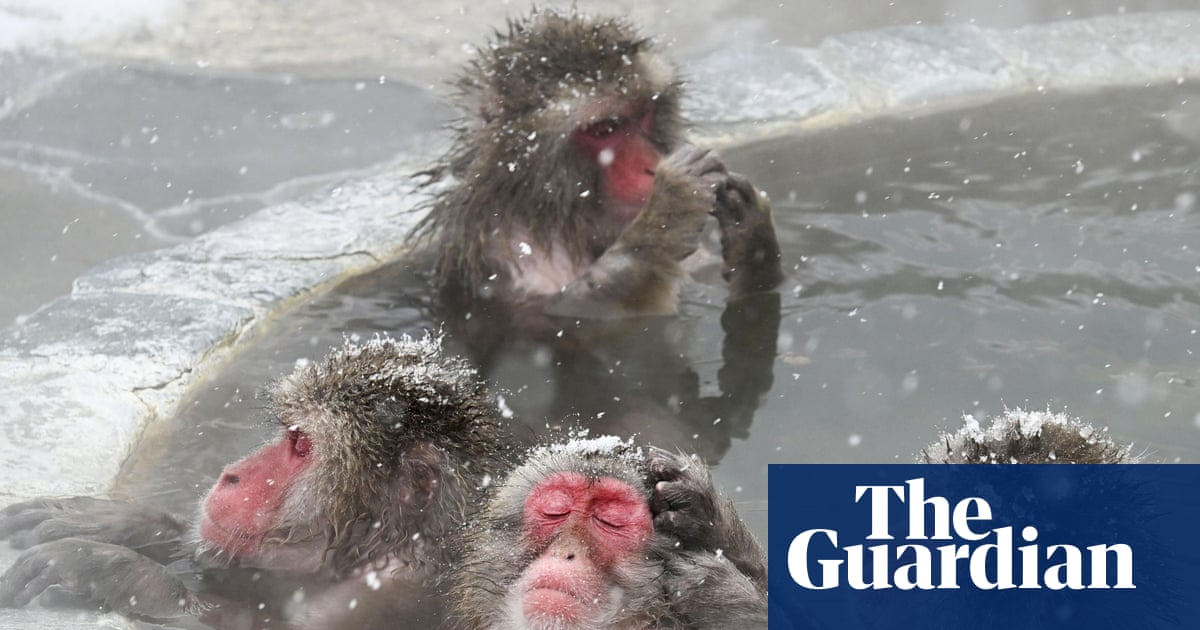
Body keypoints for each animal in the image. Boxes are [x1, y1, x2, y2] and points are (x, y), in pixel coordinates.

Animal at [0, 334, 508, 628]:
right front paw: (122, 525)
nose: (231, 474)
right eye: (290, 434)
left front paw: (115, 570)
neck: (377, 550)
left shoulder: (376, 596)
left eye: (301, 445)